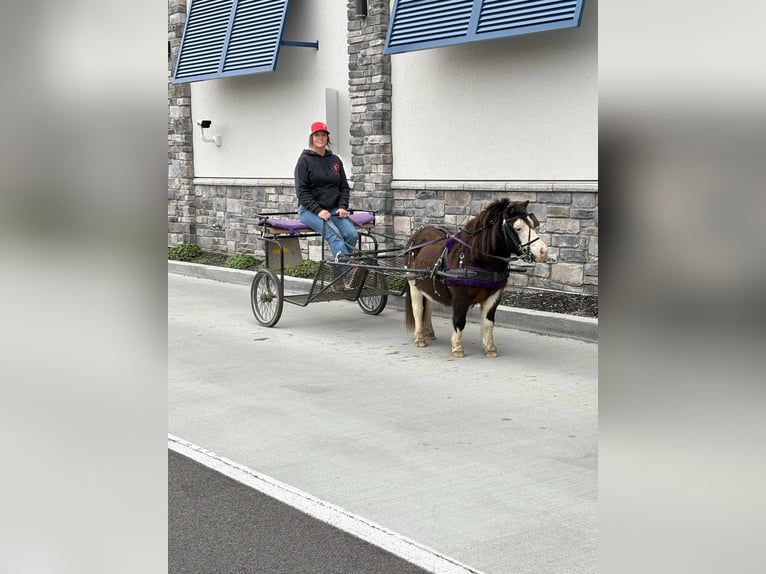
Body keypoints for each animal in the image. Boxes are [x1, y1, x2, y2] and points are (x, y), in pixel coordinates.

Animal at [404, 200, 548, 358]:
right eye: (518, 228)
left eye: (533, 224)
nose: (543, 251)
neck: (476, 258)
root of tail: (417, 234)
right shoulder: (460, 297)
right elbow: (459, 320)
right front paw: (457, 348)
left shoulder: (494, 295)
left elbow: (488, 322)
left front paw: (490, 349)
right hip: (413, 283)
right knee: (418, 309)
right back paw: (420, 338)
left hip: (428, 284)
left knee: (428, 306)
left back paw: (429, 333)